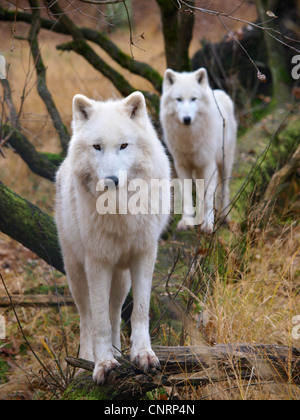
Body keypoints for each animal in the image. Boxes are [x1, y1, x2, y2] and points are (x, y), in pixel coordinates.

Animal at [54, 92, 170, 384]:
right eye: (97, 147)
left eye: (123, 146)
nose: (110, 180)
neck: (119, 210)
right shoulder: (97, 262)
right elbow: (98, 322)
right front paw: (103, 363)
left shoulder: (144, 254)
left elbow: (140, 311)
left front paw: (143, 355)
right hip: (76, 272)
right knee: (86, 316)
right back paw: (85, 361)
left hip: (122, 278)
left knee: (116, 312)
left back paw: (119, 352)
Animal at [159, 68, 237, 233]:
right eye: (179, 99)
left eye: (193, 99)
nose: (187, 119)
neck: (189, 139)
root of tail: (219, 92)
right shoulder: (182, 166)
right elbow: (188, 196)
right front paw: (187, 222)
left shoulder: (208, 165)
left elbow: (209, 197)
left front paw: (208, 225)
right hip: (198, 172)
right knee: (201, 192)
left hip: (224, 163)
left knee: (224, 189)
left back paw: (224, 215)